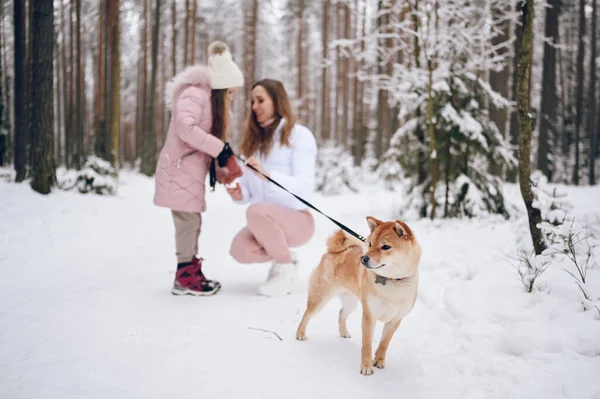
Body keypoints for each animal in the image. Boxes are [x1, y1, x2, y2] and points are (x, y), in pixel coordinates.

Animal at [296, 217, 422, 376]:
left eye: (385, 247)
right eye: (370, 244)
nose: (363, 258)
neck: (392, 280)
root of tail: (334, 252)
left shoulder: (395, 320)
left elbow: (384, 343)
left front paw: (379, 360)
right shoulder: (369, 316)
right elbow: (367, 344)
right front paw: (366, 367)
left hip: (351, 303)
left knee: (341, 313)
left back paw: (343, 332)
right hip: (320, 298)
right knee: (307, 314)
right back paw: (300, 333)